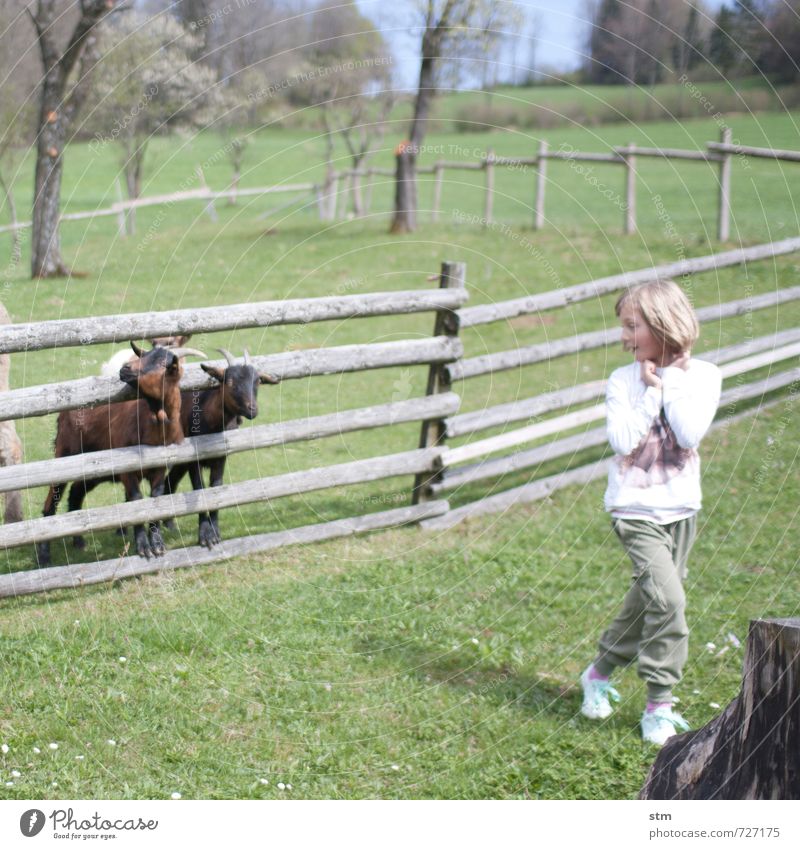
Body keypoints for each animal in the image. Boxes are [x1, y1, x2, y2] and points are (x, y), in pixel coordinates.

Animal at [37, 342, 206, 568]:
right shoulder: (127, 470)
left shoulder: (159, 469)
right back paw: (44, 556)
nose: (125, 368)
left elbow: (156, 500)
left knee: (76, 492)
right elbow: (135, 500)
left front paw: (158, 544)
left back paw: (79, 542)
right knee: (52, 499)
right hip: (64, 454)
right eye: (144, 354)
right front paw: (143, 547)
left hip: (93, 468)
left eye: (162, 362)